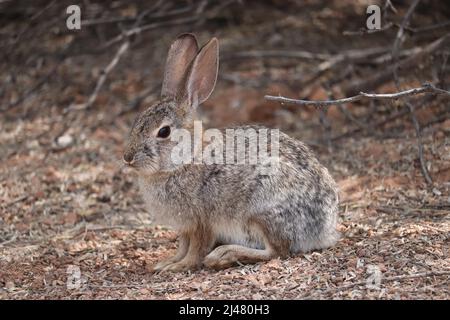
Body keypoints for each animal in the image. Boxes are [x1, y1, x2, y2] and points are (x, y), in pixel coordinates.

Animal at [123, 33, 338, 272]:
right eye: (137, 121)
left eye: (164, 131)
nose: (128, 157)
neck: (184, 161)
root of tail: (324, 229)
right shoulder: (185, 227)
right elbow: (182, 246)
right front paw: (167, 262)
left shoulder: (201, 222)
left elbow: (195, 250)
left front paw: (178, 266)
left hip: (262, 211)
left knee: (277, 251)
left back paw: (224, 255)